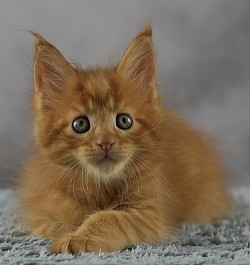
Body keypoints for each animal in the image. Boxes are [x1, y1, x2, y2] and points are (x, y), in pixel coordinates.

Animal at [19, 23, 230, 253]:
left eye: (124, 121)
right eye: (80, 124)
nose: (106, 142)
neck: (102, 187)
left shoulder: (150, 213)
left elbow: (109, 218)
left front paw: (80, 238)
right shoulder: (42, 213)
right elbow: (63, 221)